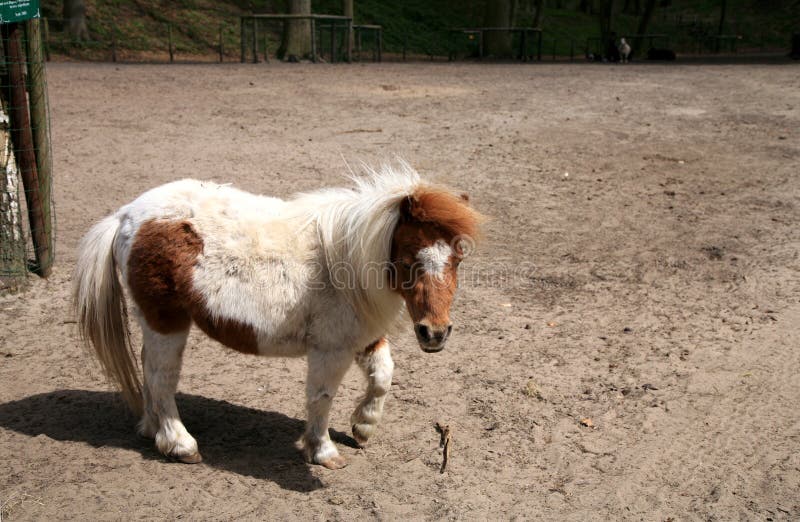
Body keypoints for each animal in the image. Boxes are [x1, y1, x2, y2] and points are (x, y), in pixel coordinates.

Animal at [73, 162, 482, 469]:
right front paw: (323, 451)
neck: (344, 260)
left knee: (149, 371)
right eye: (410, 258)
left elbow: (383, 377)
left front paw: (363, 427)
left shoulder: (363, 337)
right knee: (161, 378)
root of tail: (126, 216)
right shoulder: (330, 349)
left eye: (459, 257)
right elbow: (321, 397)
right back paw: (179, 443)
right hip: (167, 322)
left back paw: (151, 429)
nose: (435, 332)